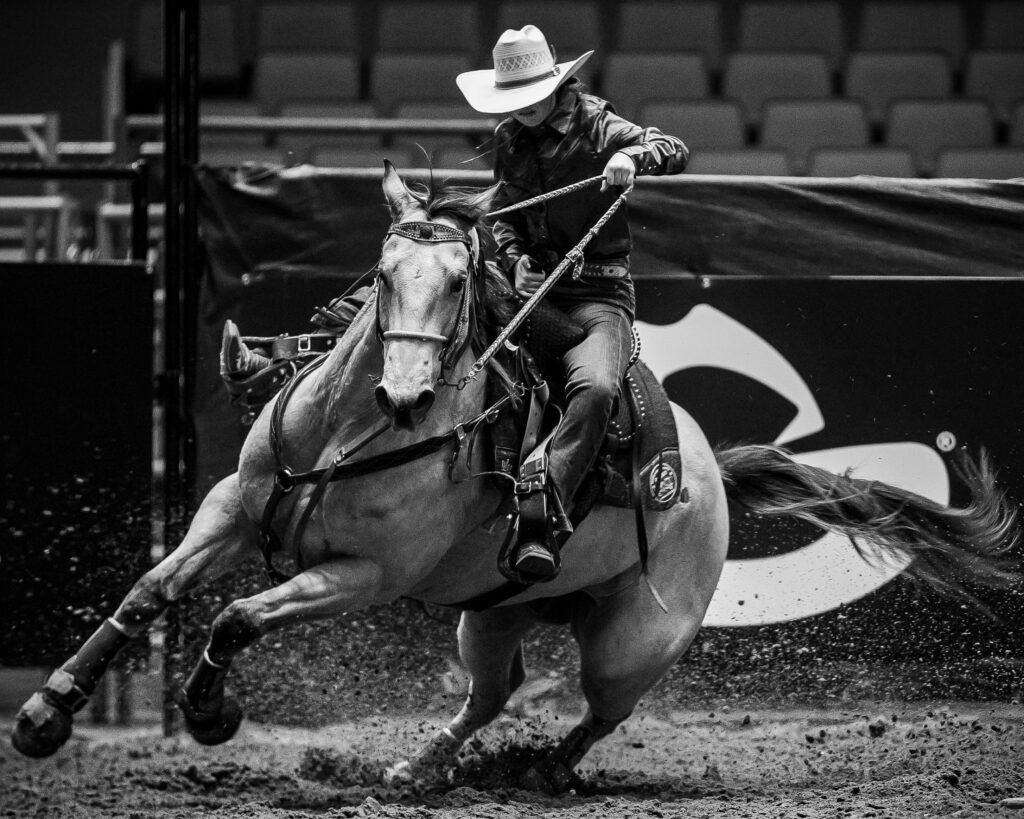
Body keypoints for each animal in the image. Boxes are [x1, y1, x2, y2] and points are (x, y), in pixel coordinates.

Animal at [12, 161, 1019, 794]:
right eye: (382, 273)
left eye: (461, 282)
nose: (407, 394)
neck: (349, 433)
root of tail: (706, 474)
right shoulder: (229, 506)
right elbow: (150, 591)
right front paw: (46, 712)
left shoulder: (364, 574)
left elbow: (235, 615)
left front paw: (210, 711)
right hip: (489, 613)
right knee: (488, 693)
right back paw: (420, 769)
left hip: (634, 640)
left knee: (600, 708)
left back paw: (542, 767)